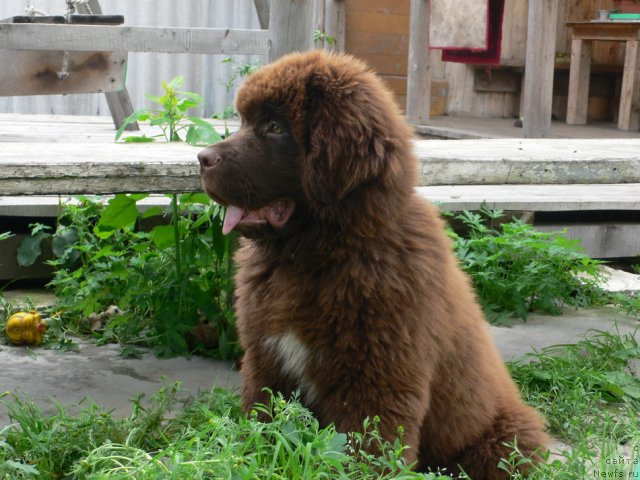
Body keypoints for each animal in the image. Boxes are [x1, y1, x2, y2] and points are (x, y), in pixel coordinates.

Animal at [198, 50, 548, 478]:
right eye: (246, 122)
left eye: (275, 127)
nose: (201, 158)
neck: (313, 259)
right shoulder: (267, 360)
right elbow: (263, 422)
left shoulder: (378, 377)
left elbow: (366, 450)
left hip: (501, 445)